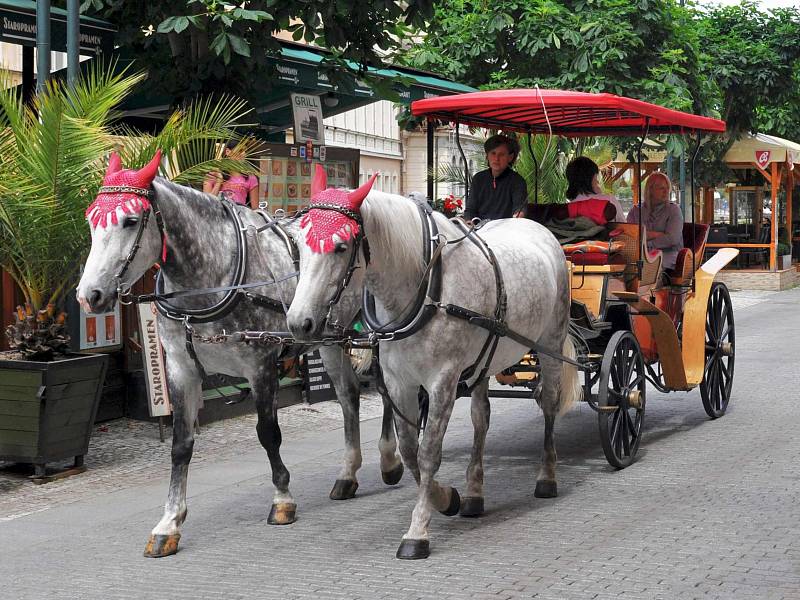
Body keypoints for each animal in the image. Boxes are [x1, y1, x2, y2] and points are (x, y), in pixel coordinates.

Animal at [75, 155, 404, 556]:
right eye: (91, 219)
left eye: (131, 221)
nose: (89, 295)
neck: (210, 280)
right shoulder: (180, 369)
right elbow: (181, 445)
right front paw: (169, 523)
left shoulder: (260, 366)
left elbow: (268, 433)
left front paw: (282, 498)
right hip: (328, 340)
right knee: (349, 396)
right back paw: (347, 474)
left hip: (377, 335)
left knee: (385, 391)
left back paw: (389, 459)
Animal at [288, 171, 580, 560]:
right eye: (297, 244)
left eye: (341, 247)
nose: (299, 323)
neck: (425, 288)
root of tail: (536, 227)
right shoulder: (400, 382)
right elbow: (410, 451)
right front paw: (446, 498)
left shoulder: (443, 382)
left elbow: (428, 454)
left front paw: (418, 531)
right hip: (484, 361)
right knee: (481, 419)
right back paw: (474, 492)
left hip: (549, 343)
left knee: (548, 402)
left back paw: (546, 476)